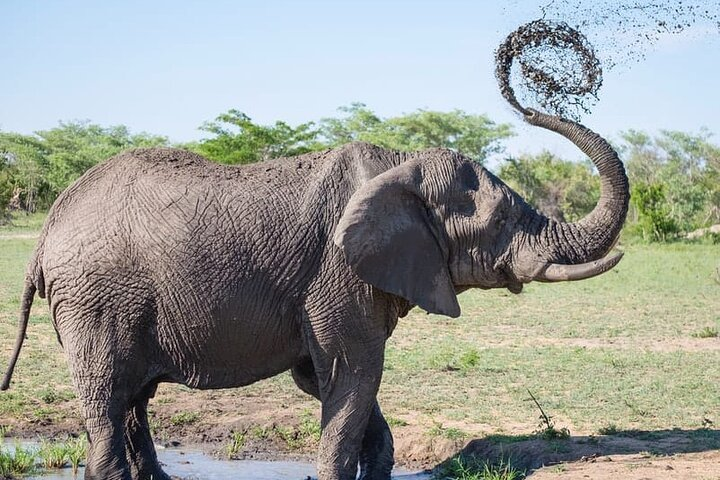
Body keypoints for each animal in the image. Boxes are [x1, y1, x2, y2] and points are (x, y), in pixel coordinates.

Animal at [0, 107, 628, 478]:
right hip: (96, 300)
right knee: (107, 398)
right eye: (498, 221)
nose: (523, 95)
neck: (400, 165)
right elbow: (354, 373)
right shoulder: (337, 272)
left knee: (134, 400)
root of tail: (48, 229)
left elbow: (332, 380)